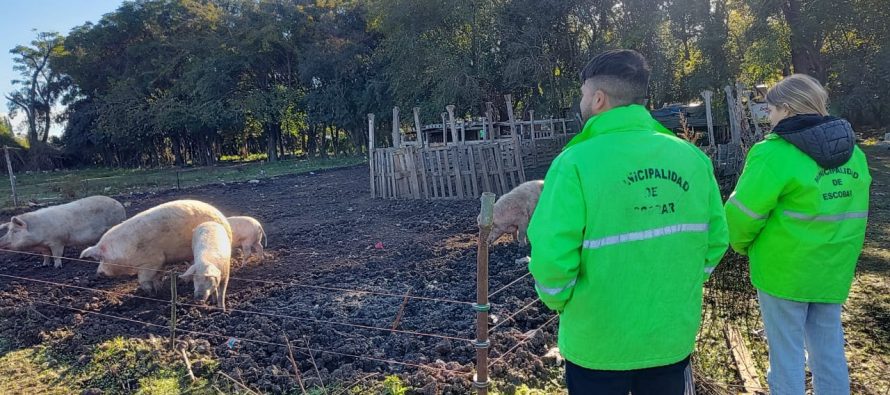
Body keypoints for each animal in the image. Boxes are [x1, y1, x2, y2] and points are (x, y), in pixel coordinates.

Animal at [79, 200, 231, 296]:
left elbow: (143, 278)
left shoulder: (152, 261)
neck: (124, 251)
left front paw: (150, 293)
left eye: (102, 258)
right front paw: (159, 290)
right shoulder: (160, 262)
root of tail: (224, 219)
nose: (98, 272)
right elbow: (158, 276)